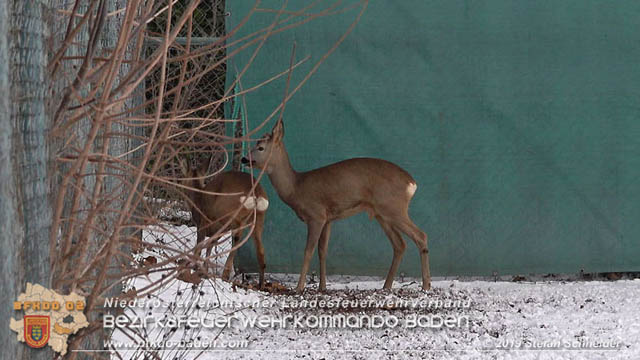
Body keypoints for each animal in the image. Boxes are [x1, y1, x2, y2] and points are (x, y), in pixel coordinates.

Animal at [179, 159, 268, 288]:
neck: (197, 198)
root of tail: (256, 192)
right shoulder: (217, 229)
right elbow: (210, 245)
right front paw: (204, 270)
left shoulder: (203, 223)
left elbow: (200, 246)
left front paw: (195, 267)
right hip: (259, 218)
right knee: (260, 250)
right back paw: (261, 285)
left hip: (227, 213)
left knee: (237, 238)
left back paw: (225, 274)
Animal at [242, 120, 432, 292]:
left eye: (260, 147)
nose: (244, 158)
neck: (296, 188)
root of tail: (411, 183)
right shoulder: (328, 219)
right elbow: (322, 251)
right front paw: (322, 287)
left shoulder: (316, 215)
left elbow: (308, 251)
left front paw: (299, 287)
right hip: (382, 214)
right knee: (400, 244)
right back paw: (386, 286)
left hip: (394, 208)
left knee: (420, 235)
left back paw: (426, 286)